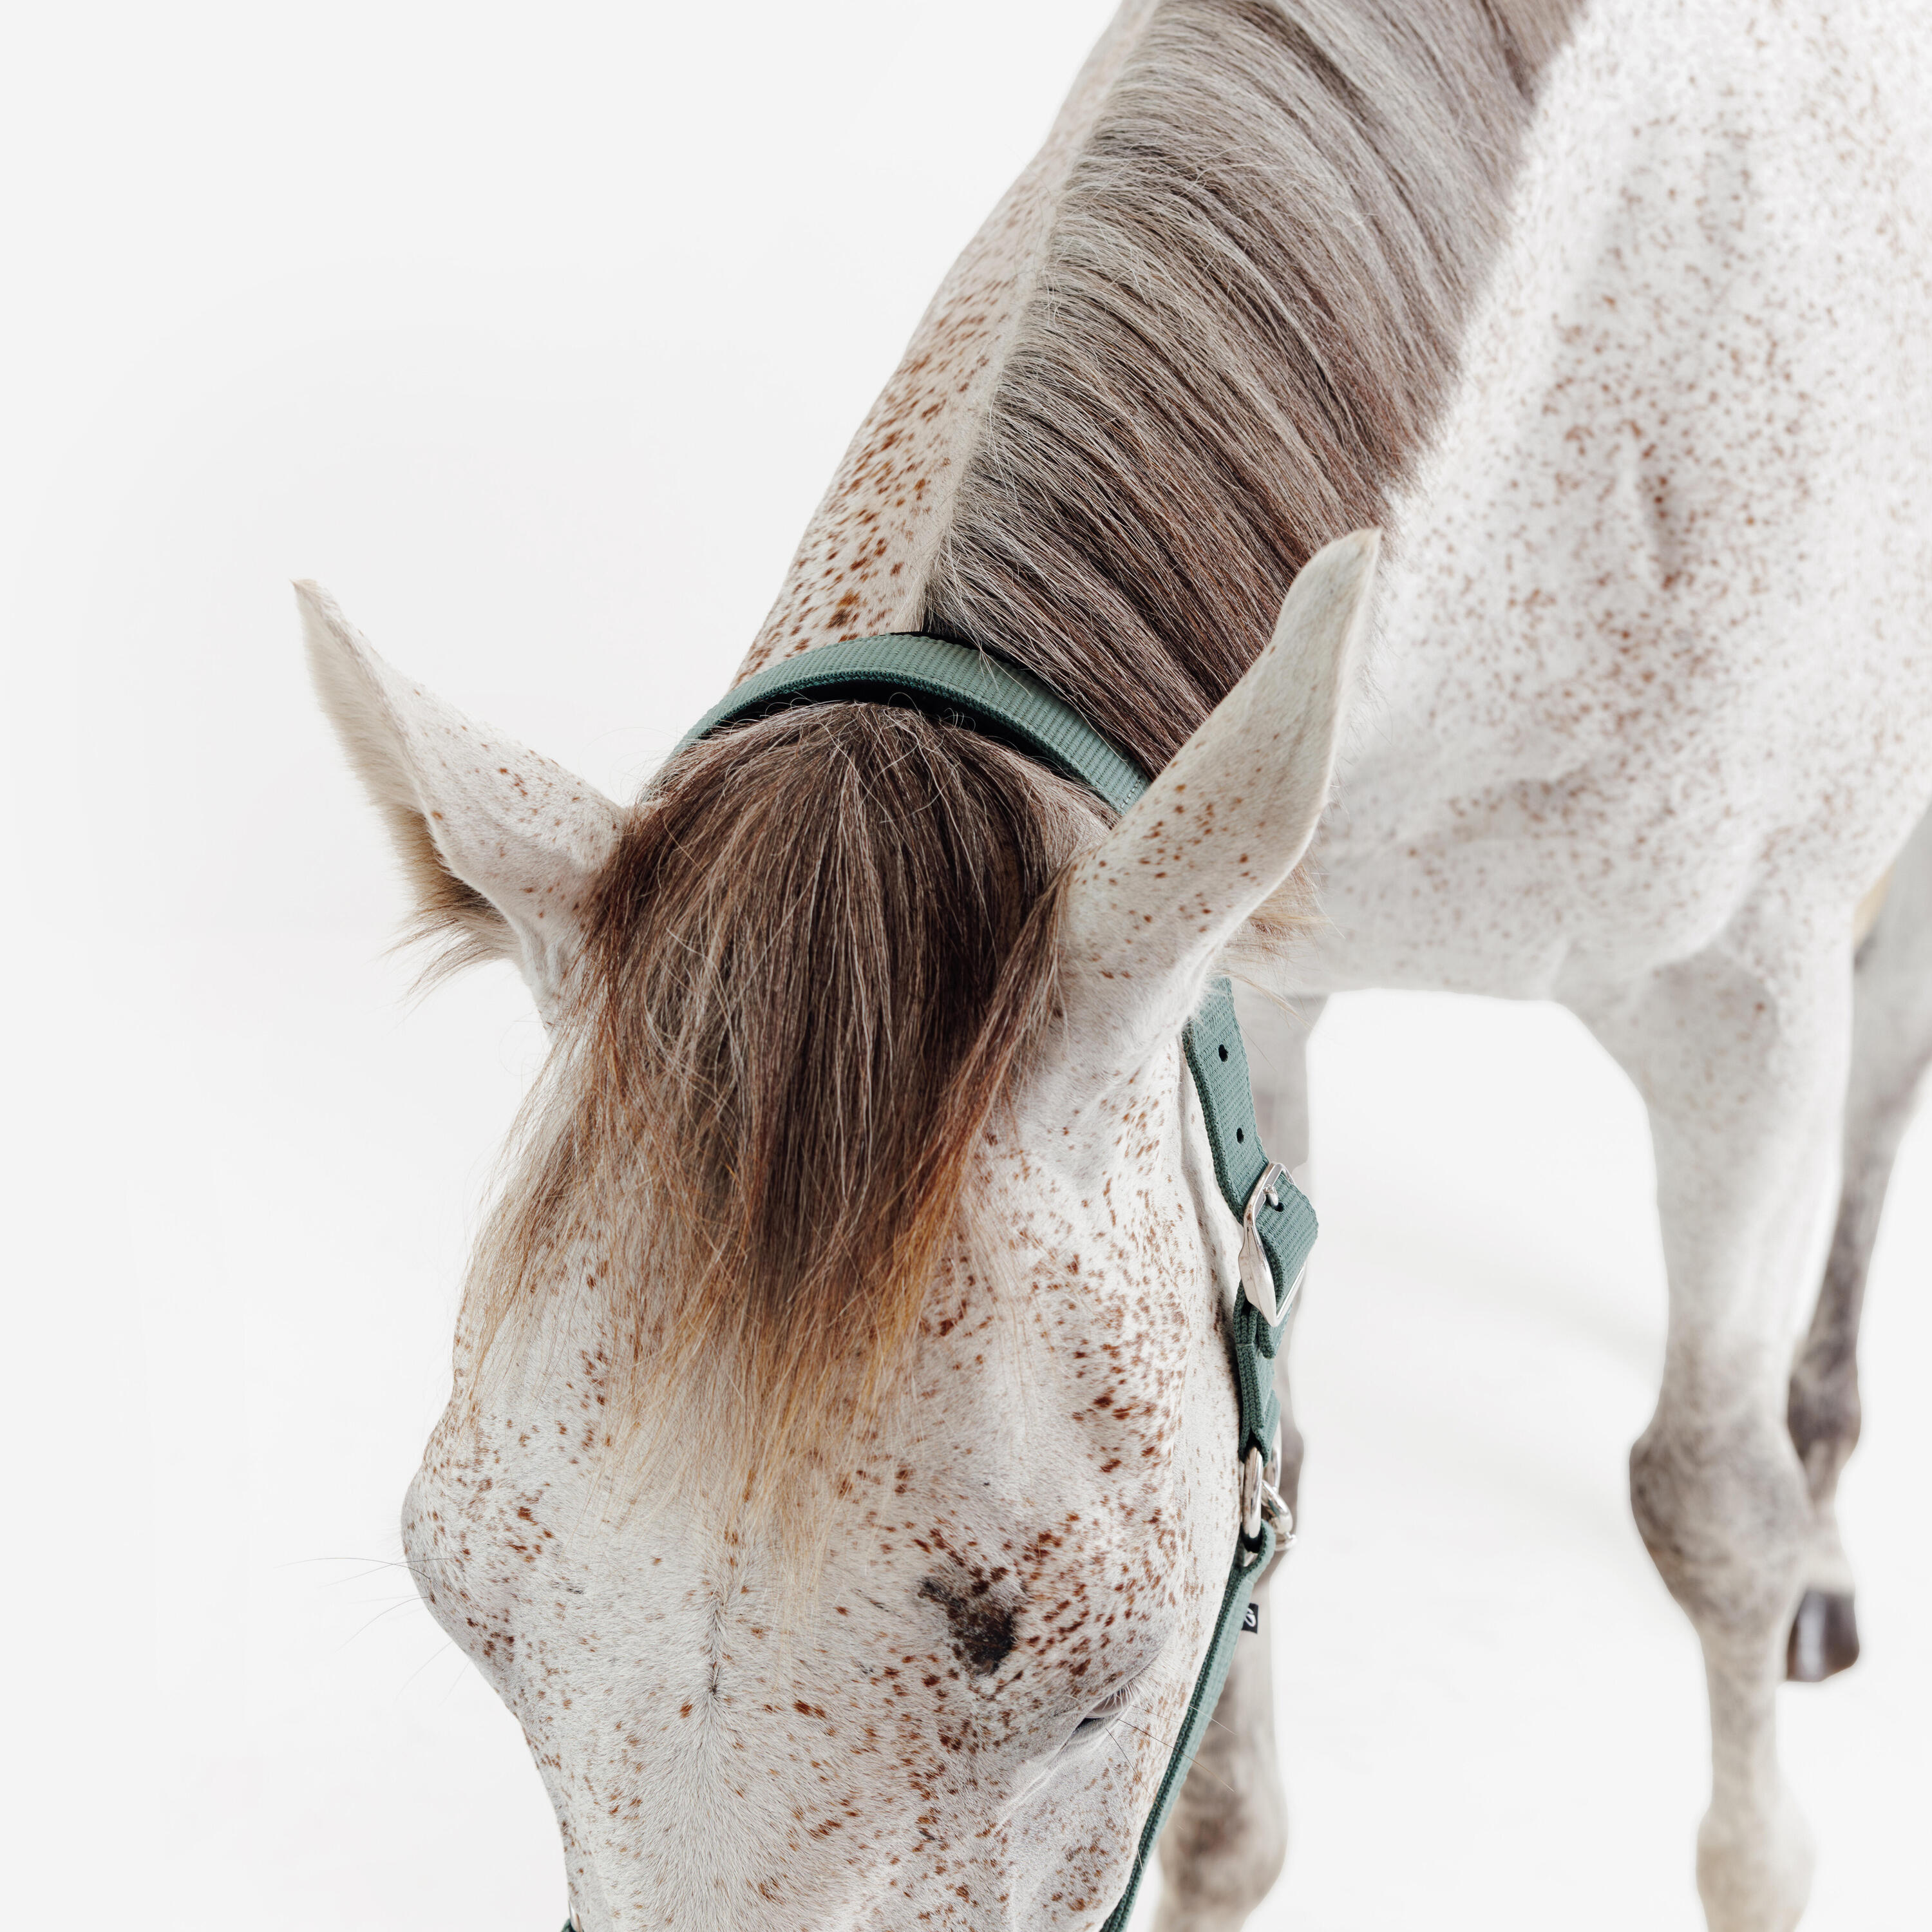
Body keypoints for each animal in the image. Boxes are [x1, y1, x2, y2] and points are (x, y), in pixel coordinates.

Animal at [303, 3, 1932, 1927]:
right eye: (463, 1602)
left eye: (1093, 1677)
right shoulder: (1246, 1000)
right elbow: (1276, 1490)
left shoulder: (1738, 1009)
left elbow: (1710, 1513)